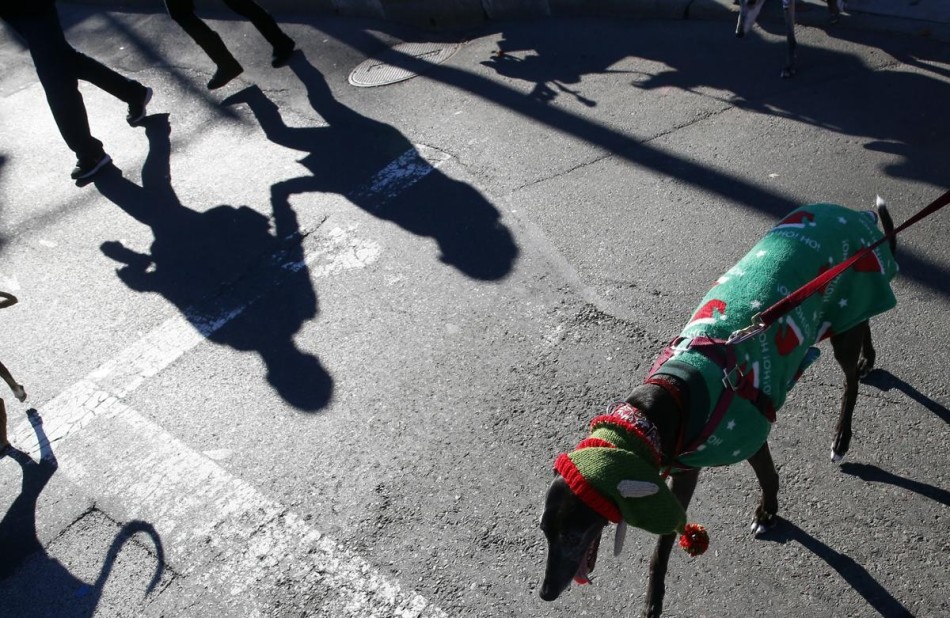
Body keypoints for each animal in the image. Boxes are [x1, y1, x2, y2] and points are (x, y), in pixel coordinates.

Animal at [540, 199, 898, 617]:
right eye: (544, 531)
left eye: (573, 534)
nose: (545, 593)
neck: (663, 403)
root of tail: (852, 214)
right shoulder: (683, 470)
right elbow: (664, 543)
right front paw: (654, 597)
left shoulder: (749, 436)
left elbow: (768, 478)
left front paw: (768, 515)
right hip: (846, 309)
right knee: (866, 323)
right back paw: (868, 359)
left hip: (847, 300)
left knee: (850, 382)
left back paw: (842, 437)